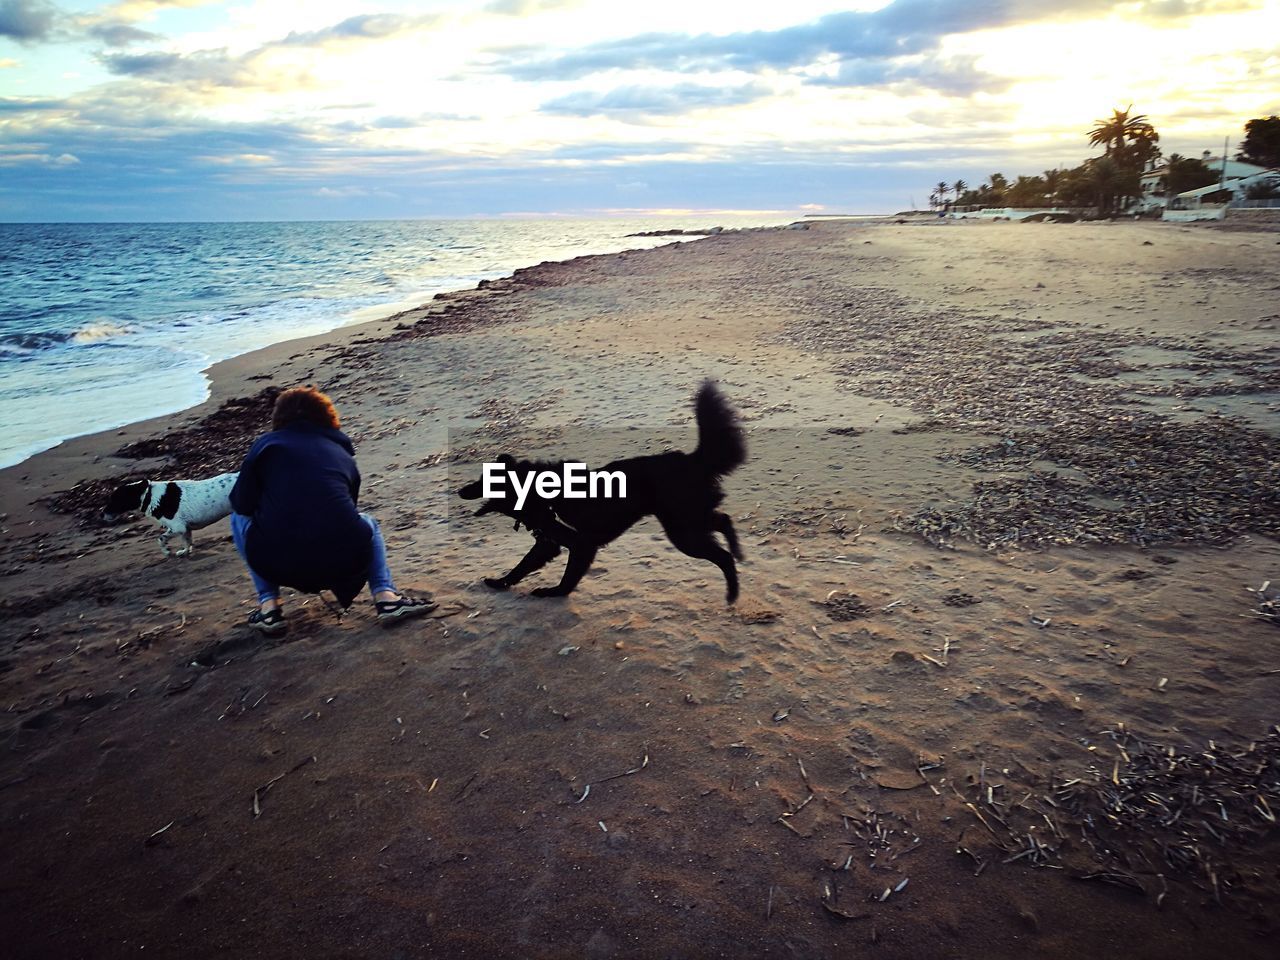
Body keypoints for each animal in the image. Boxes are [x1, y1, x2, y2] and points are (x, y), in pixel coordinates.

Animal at [102, 471, 240, 555]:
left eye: (114, 500)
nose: (101, 514)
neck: (149, 496)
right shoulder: (185, 528)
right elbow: (187, 542)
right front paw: (184, 552)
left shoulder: (178, 527)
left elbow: (161, 538)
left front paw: (167, 552)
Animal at [460, 381, 747, 601]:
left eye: (484, 480)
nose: (461, 490)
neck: (539, 492)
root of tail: (691, 459)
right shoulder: (548, 544)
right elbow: (522, 566)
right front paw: (500, 582)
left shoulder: (582, 545)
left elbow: (567, 578)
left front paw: (553, 592)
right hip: (687, 521)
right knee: (723, 521)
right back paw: (738, 555)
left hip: (683, 530)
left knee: (722, 552)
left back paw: (732, 593)